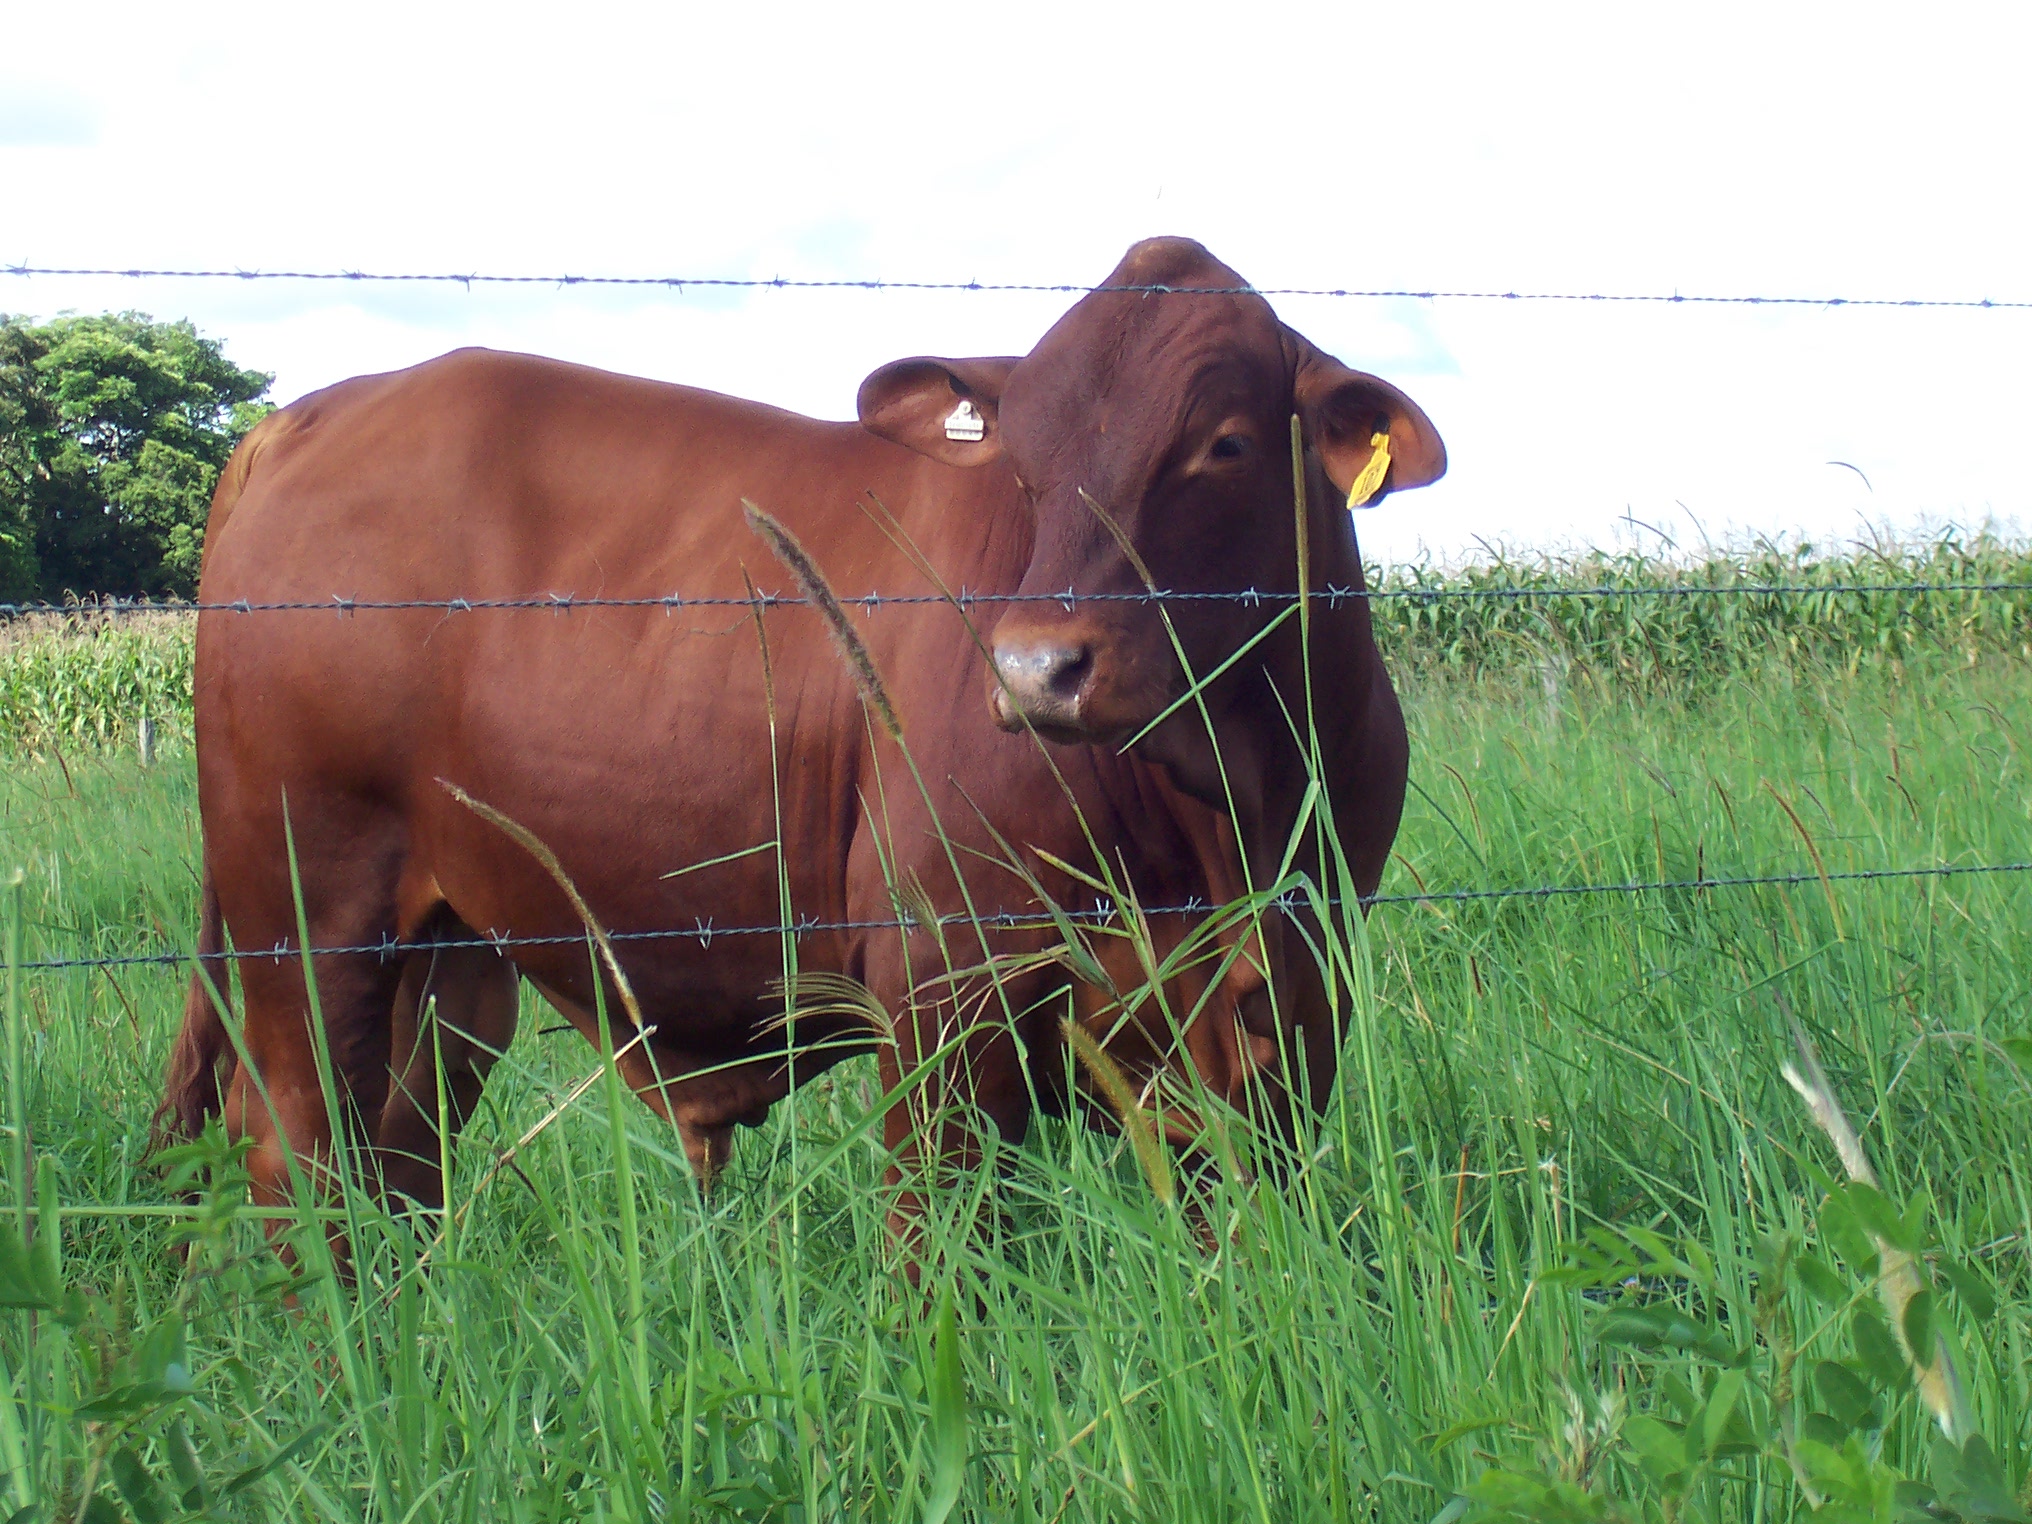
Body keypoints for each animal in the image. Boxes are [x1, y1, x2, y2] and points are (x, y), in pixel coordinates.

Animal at [162, 238, 1446, 1243]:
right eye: (1025, 466)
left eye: (1223, 443)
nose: (1036, 669)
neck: (1234, 806)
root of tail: (303, 418)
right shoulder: (943, 987)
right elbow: (944, 1251)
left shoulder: (1291, 998)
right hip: (309, 914)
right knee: (294, 1151)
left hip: (451, 950)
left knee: (396, 1157)